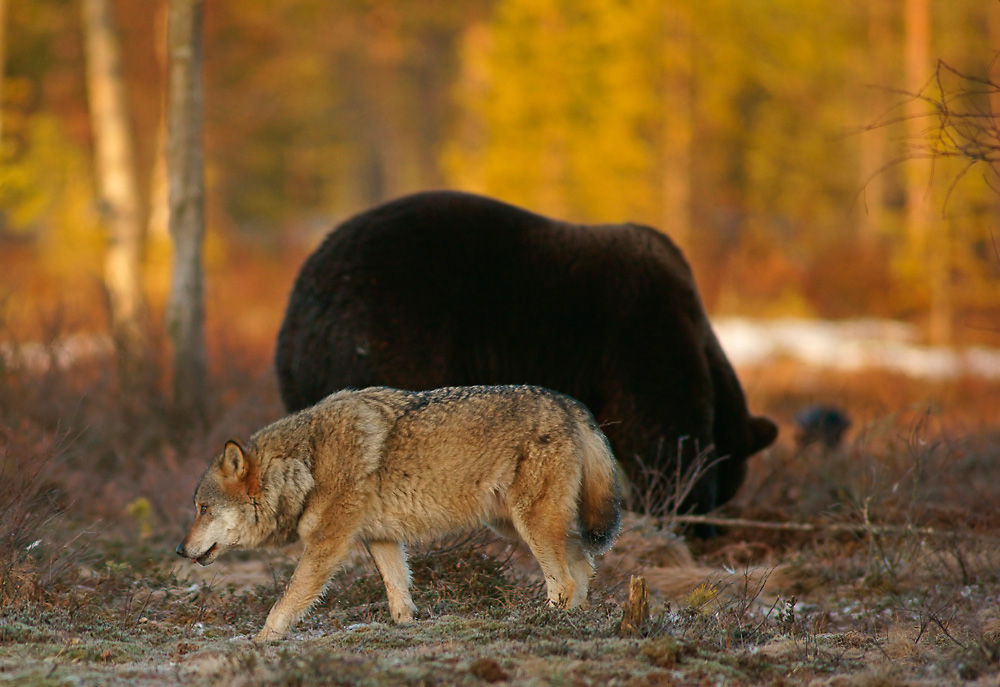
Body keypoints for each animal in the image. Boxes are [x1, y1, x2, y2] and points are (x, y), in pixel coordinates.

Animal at [176, 384, 620, 644]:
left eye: (203, 509)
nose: (180, 550)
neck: (307, 463)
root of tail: (570, 403)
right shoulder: (382, 539)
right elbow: (398, 592)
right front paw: (406, 628)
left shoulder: (328, 544)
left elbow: (287, 599)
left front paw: (262, 640)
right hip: (516, 525)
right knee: (584, 566)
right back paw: (575, 622)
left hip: (531, 526)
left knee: (564, 580)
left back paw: (543, 623)